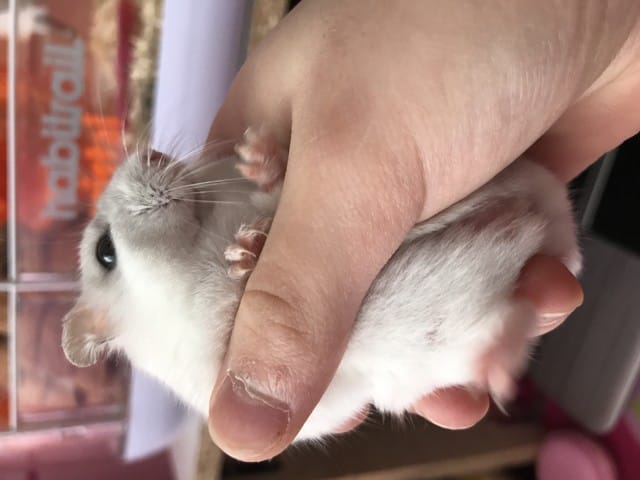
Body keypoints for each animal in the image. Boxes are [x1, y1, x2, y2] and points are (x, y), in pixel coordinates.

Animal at [61, 127, 581, 441]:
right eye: (104, 252)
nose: (150, 151)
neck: (200, 236)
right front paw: (245, 257)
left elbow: (273, 196)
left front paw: (255, 163)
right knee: (505, 332)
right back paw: (499, 371)